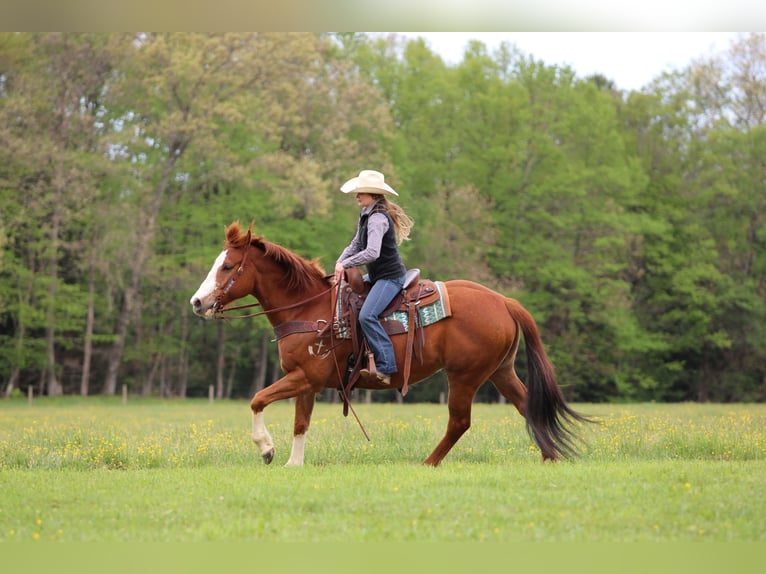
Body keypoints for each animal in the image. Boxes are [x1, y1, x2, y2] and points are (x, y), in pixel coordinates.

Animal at [190, 221, 589, 467]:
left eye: (228, 267)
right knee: (527, 405)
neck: (308, 307)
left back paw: (428, 462)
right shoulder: (306, 381)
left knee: (460, 421)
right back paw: (550, 457)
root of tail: (503, 301)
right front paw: (293, 463)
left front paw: (267, 449)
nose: (197, 302)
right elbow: (300, 423)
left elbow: (257, 399)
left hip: (464, 375)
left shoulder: (307, 377)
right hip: (500, 371)